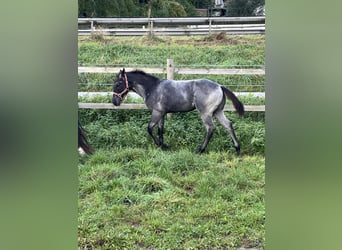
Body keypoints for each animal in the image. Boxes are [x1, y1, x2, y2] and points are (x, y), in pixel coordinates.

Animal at [111, 69, 243, 154]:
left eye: (118, 84)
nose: (114, 102)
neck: (152, 88)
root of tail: (220, 87)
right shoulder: (162, 113)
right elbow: (160, 129)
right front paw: (163, 146)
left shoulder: (156, 112)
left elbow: (149, 128)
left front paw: (160, 145)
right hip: (218, 112)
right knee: (228, 125)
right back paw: (237, 149)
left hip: (205, 113)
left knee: (210, 128)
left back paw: (200, 150)